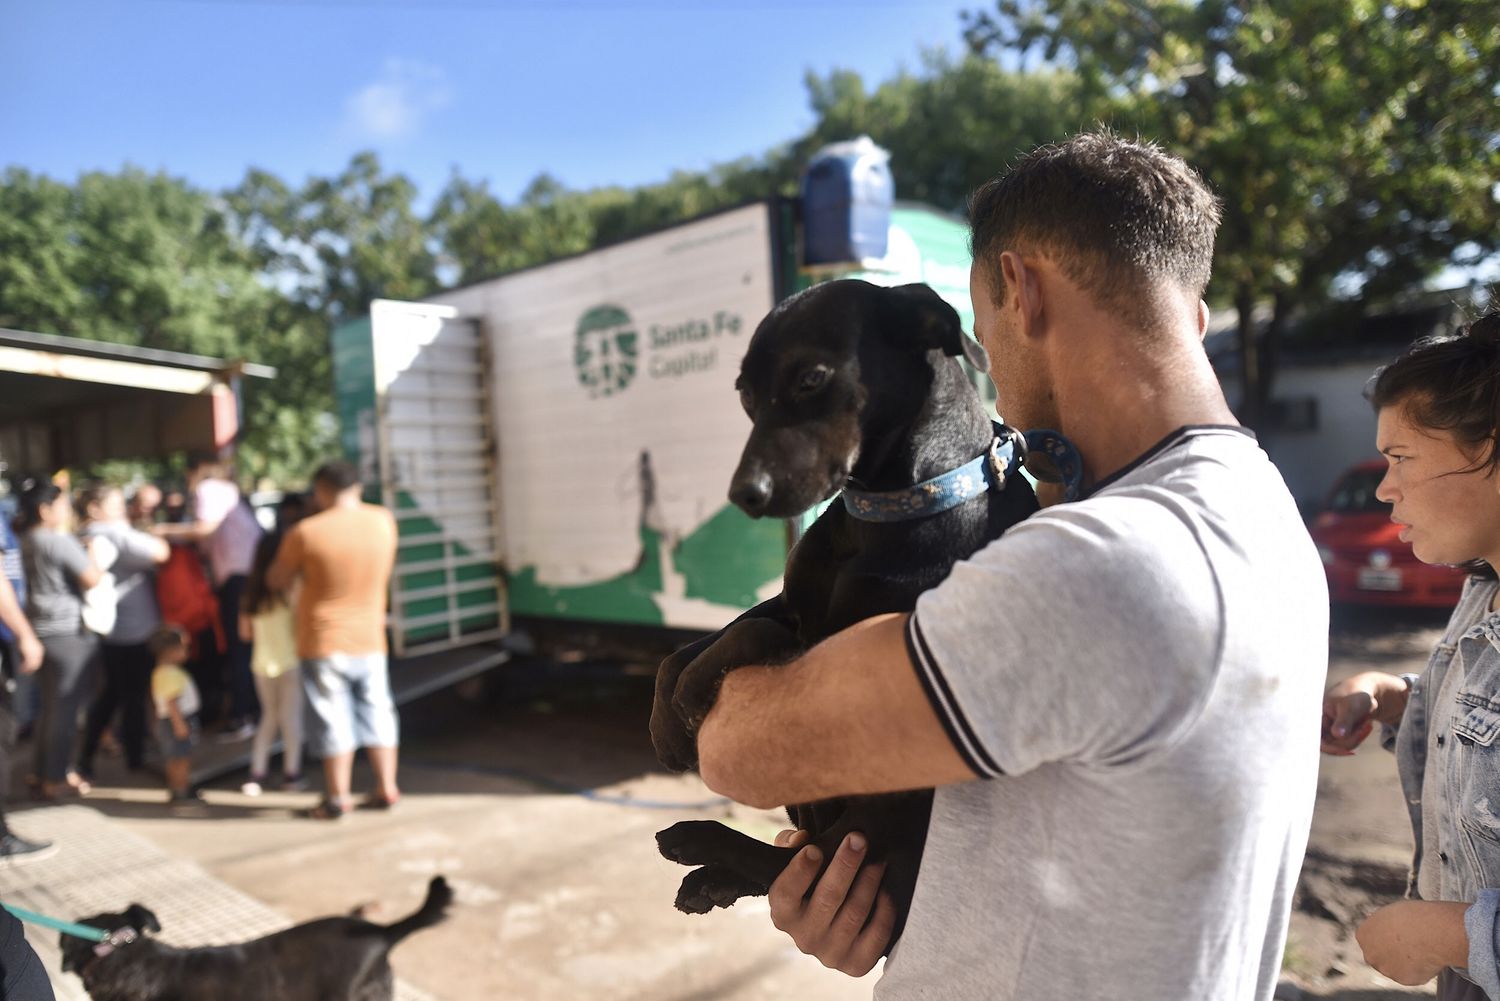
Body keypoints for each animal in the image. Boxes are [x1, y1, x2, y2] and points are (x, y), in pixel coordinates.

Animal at [651, 280, 1038, 942]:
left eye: (812, 378)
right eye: (745, 394)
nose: (744, 495)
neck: (883, 511)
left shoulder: (843, 650)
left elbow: (747, 635)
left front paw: (694, 692)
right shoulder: (793, 604)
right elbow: (704, 641)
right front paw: (667, 718)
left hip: (891, 806)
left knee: (801, 861)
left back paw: (700, 843)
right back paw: (712, 878)